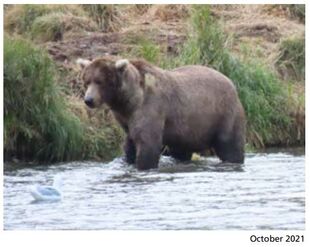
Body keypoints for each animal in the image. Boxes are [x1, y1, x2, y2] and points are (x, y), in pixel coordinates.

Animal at [77, 56, 245, 170]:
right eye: (87, 80)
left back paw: (233, 160)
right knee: (182, 151)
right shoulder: (126, 120)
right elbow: (129, 144)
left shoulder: (150, 108)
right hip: (187, 129)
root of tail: (231, 82)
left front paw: (143, 165)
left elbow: (148, 143)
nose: (89, 100)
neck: (129, 101)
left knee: (230, 144)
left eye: (100, 81)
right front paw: (129, 159)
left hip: (223, 113)